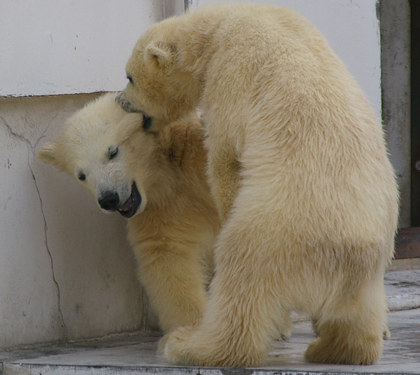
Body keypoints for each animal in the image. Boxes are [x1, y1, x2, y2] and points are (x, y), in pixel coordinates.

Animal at [37, 93, 220, 352]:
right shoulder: (161, 211)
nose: (108, 198)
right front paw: (187, 332)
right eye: (81, 174)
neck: (168, 168)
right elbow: (169, 259)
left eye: (112, 151)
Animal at [116, 2, 398, 368]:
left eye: (130, 77)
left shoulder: (230, 72)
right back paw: (332, 348)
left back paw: (188, 344)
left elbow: (226, 157)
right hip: (369, 270)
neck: (221, 24)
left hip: (276, 234)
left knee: (241, 279)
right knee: (358, 317)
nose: (120, 100)